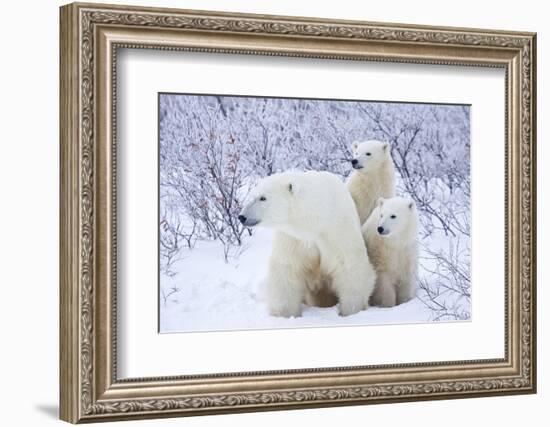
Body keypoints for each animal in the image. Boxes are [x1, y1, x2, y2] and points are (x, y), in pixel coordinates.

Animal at [239, 171, 378, 318]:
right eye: (253, 195)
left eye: (263, 198)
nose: (242, 216)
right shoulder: (293, 238)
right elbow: (287, 269)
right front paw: (283, 314)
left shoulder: (336, 230)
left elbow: (349, 265)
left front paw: (351, 310)